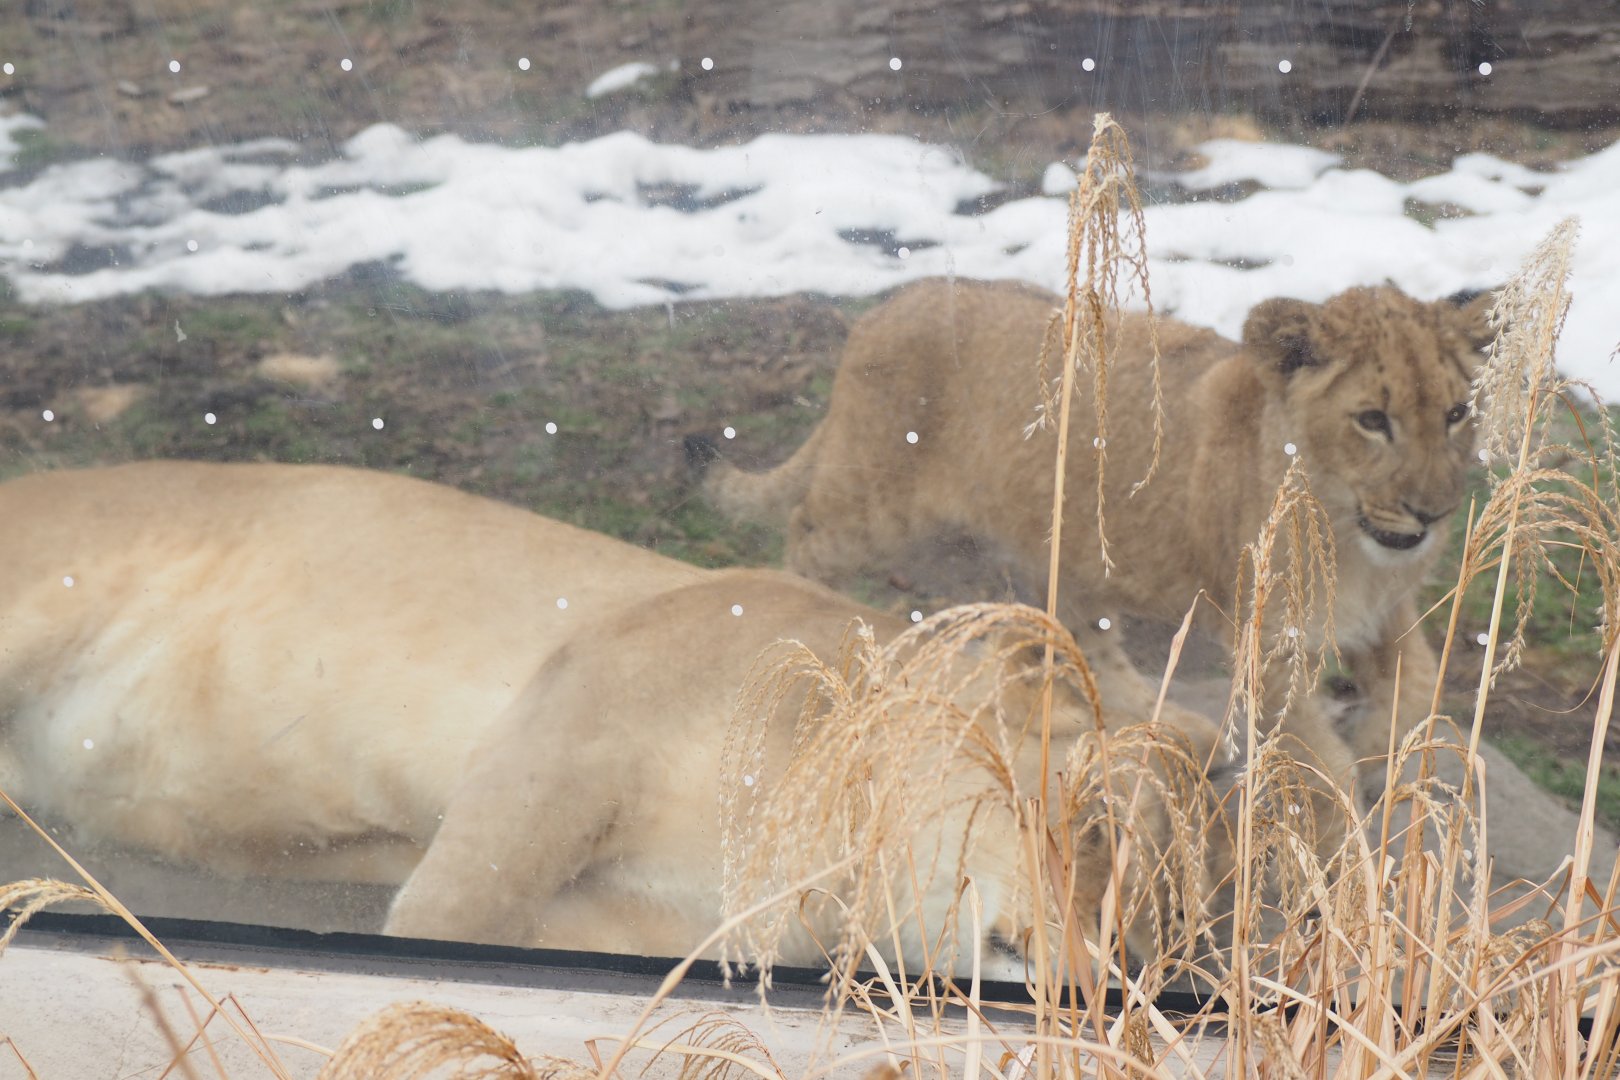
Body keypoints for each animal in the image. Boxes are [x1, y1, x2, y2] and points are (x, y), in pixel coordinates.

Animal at [0, 460, 1224, 976]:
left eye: (1164, 916)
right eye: (1098, 830)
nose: (1115, 980)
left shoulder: (654, 929)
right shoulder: (579, 710)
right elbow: (453, 912)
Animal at [699, 277, 1496, 789]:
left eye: (1457, 413)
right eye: (1373, 420)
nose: (1433, 514)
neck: (1350, 532)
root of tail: (884, 308)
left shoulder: (1385, 609)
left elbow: (1420, 685)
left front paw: (1386, 751)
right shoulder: (1264, 633)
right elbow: (1317, 758)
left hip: (1054, 550)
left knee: (1072, 643)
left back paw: (1177, 729)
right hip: (872, 509)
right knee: (805, 536)